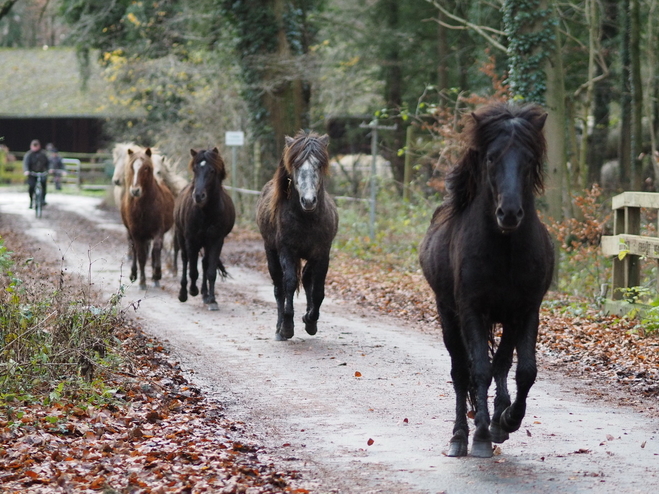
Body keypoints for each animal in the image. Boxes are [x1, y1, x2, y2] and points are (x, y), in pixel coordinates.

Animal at [120, 147, 174, 290]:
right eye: (132, 167)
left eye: (145, 168)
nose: (135, 191)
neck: (143, 206)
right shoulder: (136, 233)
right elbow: (141, 255)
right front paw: (142, 281)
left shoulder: (158, 231)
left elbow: (156, 250)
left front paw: (157, 274)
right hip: (132, 233)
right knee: (134, 250)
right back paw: (134, 274)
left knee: (154, 251)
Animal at [174, 147, 236, 310]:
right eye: (195, 169)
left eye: (212, 171)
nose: (198, 196)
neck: (205, 212)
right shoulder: (191, 240)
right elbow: (192, 270)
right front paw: (192, 290)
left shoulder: (216, 240)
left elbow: (211, 271)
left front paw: (212, 299)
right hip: (181, 237)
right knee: (185, 260)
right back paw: (184, 293)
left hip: (206, 243)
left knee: (204, 262)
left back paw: (205, 294)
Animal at [258, 130, 340, 340]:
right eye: (295, 165)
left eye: (319, 164)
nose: (308, 200)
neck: (306, 219)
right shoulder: (287, 252)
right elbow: (289, 284)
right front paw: (287, 326)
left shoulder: (322, 254)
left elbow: (318, 290)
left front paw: (310, 321)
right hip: (271, 252)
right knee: (279, 287)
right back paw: (279, 329)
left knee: (307, 277)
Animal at [420, 101, 556, 460]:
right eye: (492, 157)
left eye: (529, 159)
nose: (509, 214)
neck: (504, 251)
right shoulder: (471, 311)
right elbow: (478, 369)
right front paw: (480, 436)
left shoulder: (525, 311)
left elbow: (523, 370)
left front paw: (507, 420)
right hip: (448, 315)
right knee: (460, 372)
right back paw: (459, 437)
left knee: (502, 365)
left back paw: (498, 420)